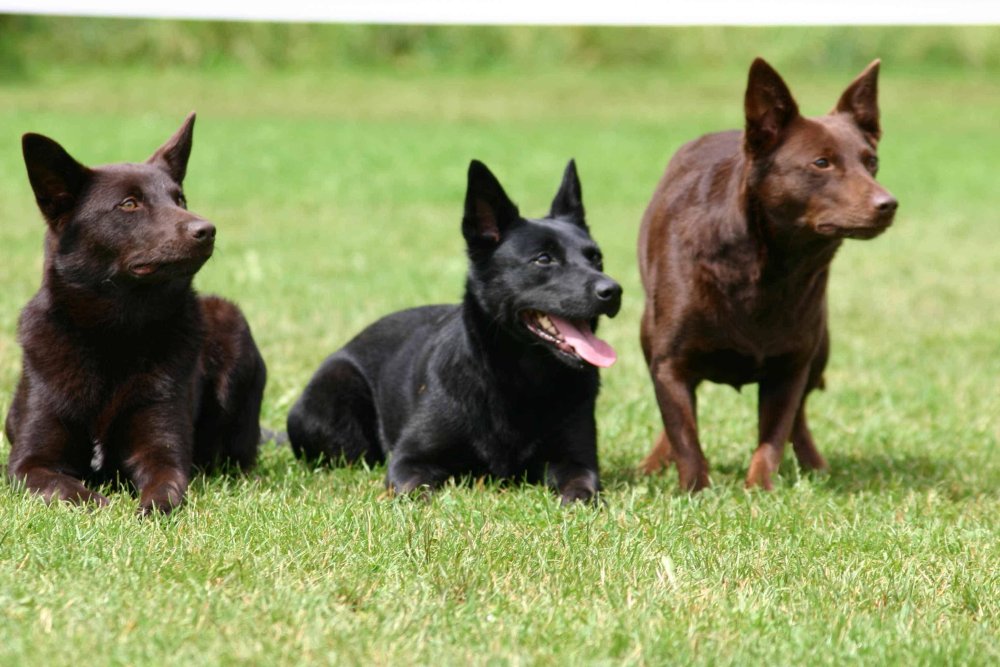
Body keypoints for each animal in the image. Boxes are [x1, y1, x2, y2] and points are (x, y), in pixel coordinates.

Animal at [3, 113, 268, 516]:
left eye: (180, 199)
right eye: (129, 204)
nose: (207, 230)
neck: (116, 334)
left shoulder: (162, 454)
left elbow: (165, 489)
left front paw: (146, 511)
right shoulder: (28, 464)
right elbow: (67, 488)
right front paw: (101, 505)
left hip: (232, 325)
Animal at [286, 159, 620, 500]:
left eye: (596, 258)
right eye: (543, 259)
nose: (613, 291)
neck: (520, 383)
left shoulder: (577, 461)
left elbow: (582, 489)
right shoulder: (408, 461)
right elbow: (417, 492)